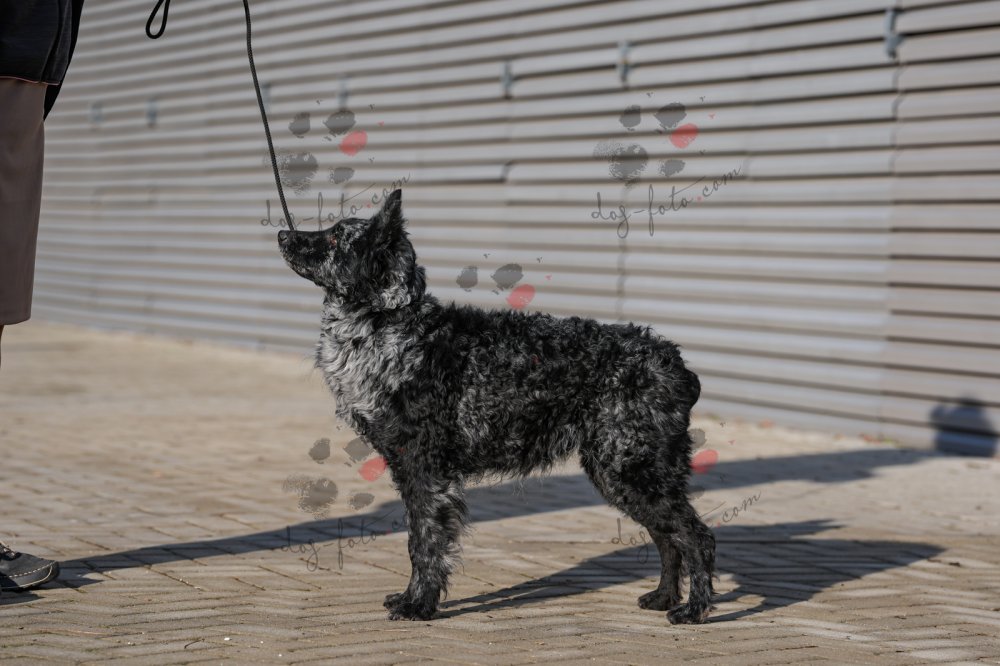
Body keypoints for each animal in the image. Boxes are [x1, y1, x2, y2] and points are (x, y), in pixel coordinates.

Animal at [278, 189, 715, 624]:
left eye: (336, 237)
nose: (283, 234)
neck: (391, 324)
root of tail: (675, 363)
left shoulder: (426, 469)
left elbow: (425, 543)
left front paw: (418, 604)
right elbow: (419, 540)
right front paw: (414, 598)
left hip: (632, 469)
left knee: (696, 536)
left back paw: (694, 609)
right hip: (621, 474)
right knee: (668, 537)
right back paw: (663, 598)